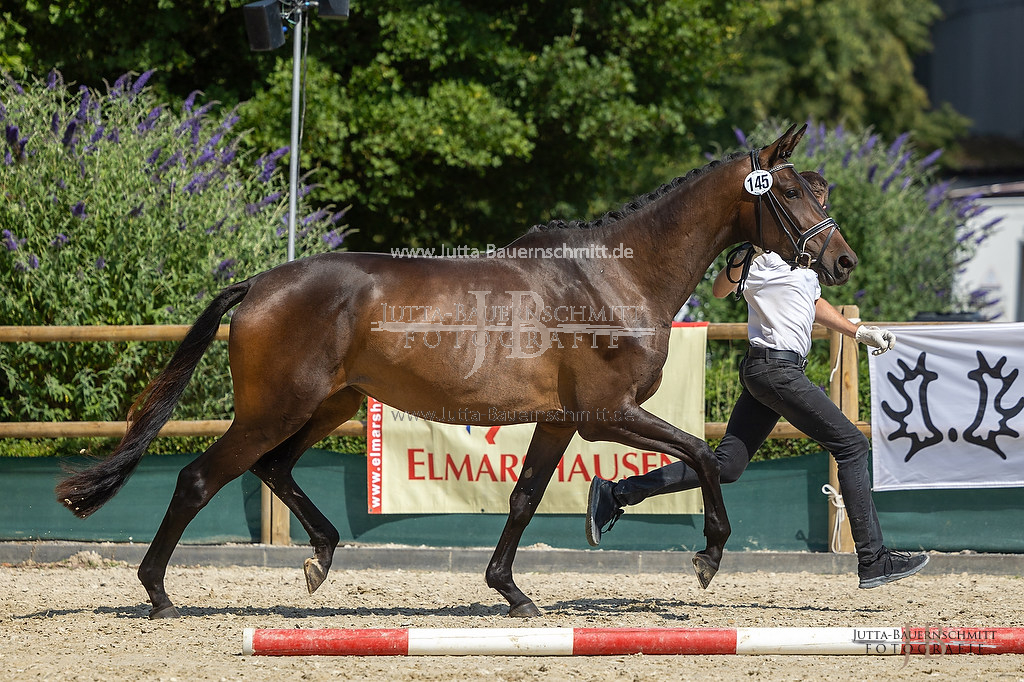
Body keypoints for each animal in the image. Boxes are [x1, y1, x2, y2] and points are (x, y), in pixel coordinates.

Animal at [56, 122, 856, 614]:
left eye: (821, 190)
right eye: (789, 192)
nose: (842, 261)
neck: (612, 277)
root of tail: (258, 285)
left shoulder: (560, 422)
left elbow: (526, 499)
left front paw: (511, 590)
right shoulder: (606, 416)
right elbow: (703, 455)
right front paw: (709, 556)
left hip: (330, 405)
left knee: (274, 468)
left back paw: (319, 556)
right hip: (275, 407)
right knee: (201, 478)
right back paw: (159, 593)